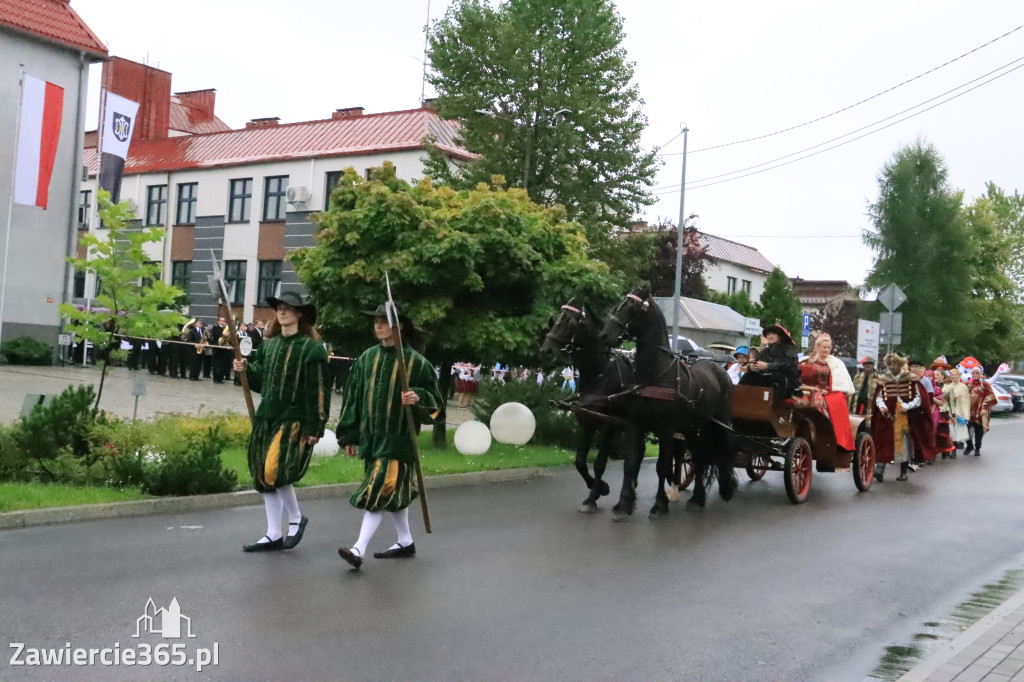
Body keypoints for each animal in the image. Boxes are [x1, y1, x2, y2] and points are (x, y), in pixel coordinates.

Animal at [536, 301, 638, 512]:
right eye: (554, 319)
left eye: (570, 322)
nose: (546, 349)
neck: (600, 375)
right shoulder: (586, 423)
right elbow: (580, 461)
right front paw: (599, 488)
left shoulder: (608, 427)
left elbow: (599, 464)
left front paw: (592, 497)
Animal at [598, 286, 737, 516]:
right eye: (618, 305)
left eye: (632, 308)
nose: (604, 335)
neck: (656, 375)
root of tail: (719, 369)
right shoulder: (637, 425)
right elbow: (631, 463)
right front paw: (624, 505)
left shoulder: (665, 429)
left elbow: (662, 466)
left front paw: (659, 504)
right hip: (694, 427)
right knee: (699, 457)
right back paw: (697, 499)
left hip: (720, 422)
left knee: (724, 450)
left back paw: (726, 489)